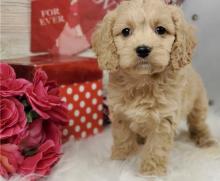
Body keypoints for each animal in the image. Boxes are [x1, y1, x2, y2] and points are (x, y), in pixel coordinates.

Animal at [91, 0, 215, 175]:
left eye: (160, 30)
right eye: (126, 31)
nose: (143, 49)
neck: (142, 81)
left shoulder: (163, 119)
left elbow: (156, 146)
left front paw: (151, 171)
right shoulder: (120, 113)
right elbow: (122, 137)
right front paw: (121, 158)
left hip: (199, 103)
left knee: (198, 123)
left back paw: (205, 140)